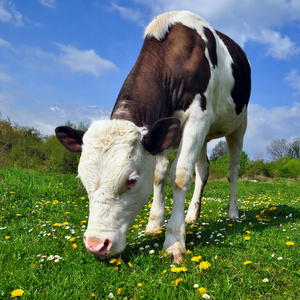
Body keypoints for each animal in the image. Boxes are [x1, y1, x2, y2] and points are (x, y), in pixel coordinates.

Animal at [55, 10, 250, 262]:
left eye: (131, 180)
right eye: (82, 179)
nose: (96, 245)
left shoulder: (198, 117)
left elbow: (180, 175)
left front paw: (174, 241)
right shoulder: (163, 129)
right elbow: (159, 174)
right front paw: (154, 224)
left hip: (239, 125)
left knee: (232, 171)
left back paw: (232, 213)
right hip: (204, 135)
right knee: (203, 169)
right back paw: (192, 214)